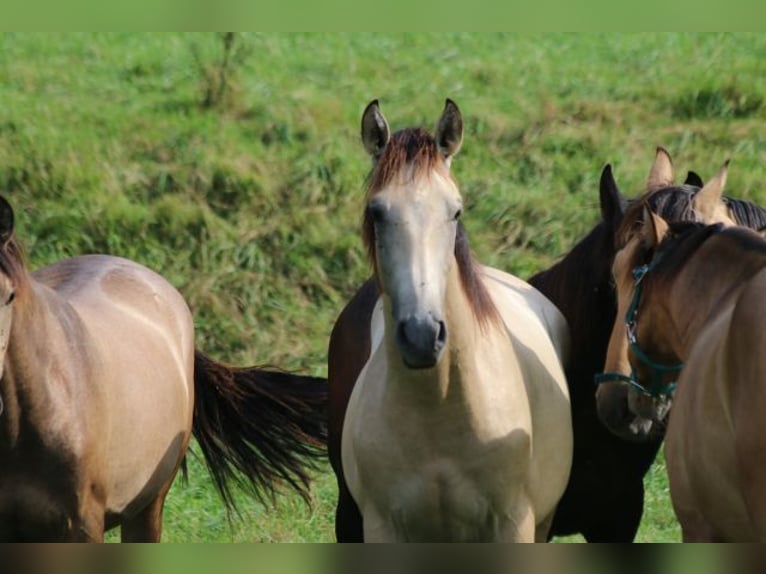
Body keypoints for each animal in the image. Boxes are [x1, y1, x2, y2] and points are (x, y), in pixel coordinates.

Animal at [340, 100, 572, 544]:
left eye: (456, 210)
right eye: (376, 212)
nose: (421, 334)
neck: (440, 410)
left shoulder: (515, 525)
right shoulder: (382, 528)